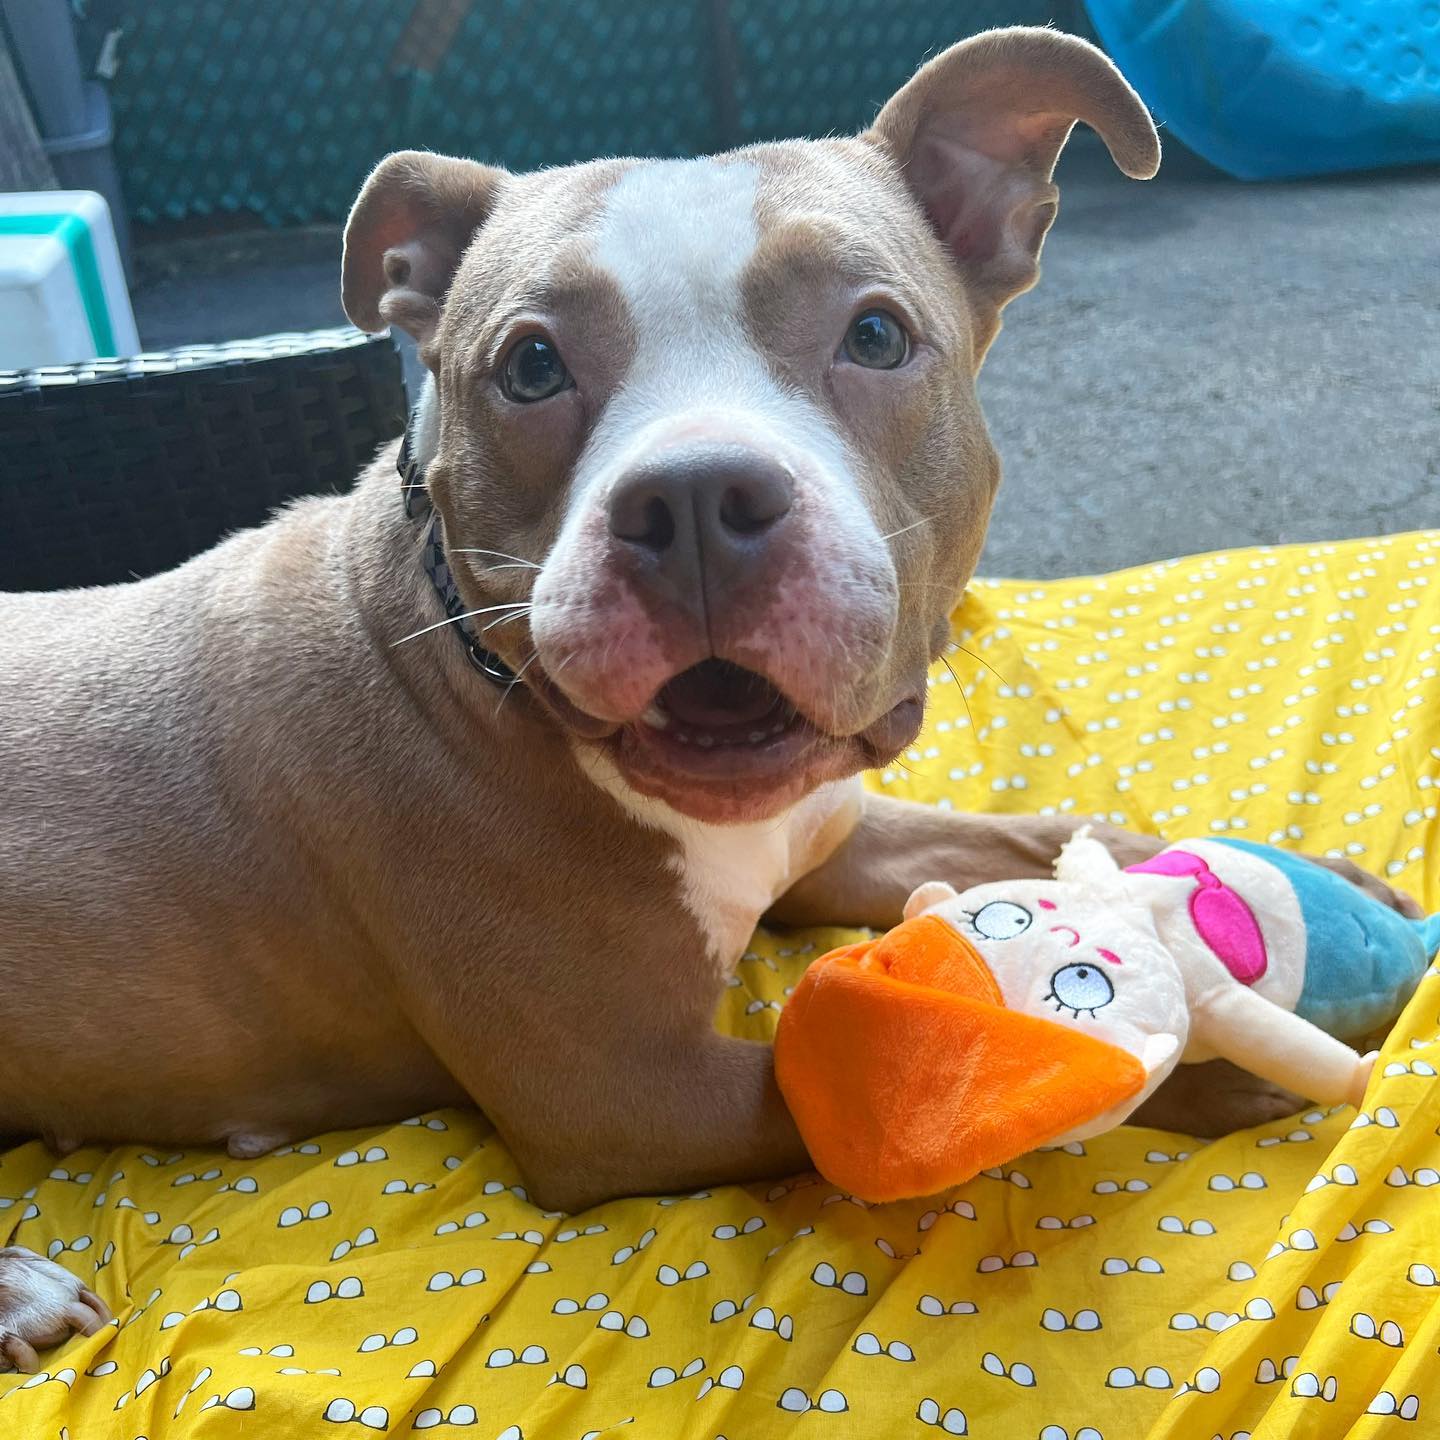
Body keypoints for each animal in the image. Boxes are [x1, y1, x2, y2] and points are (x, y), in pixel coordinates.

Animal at [0, 28, 1416, 1365]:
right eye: (529, 365)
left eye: (875, 335)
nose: (692, 502)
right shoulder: (631, 1094)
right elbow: (873, 1092)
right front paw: (1209, 1071)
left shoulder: (828, 838)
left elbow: (1024, 834)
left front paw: (1290, 887)